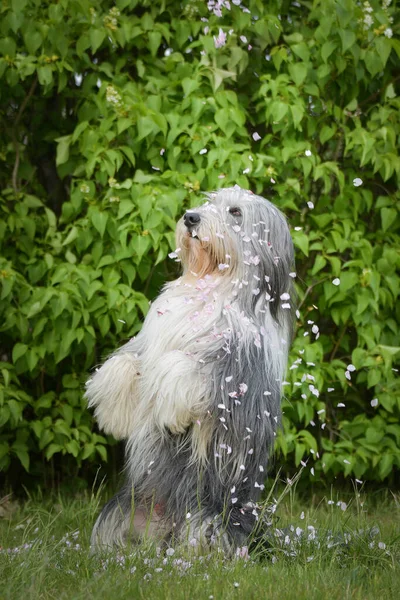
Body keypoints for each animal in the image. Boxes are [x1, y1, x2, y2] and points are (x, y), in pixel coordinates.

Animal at [86, 186, 294, 552]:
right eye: (209, 202)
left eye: (235, 212)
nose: (191, 218)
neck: (213, 283)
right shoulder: (152, 338)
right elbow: (128, 361)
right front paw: (111, 412)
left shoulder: (233, 371)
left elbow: (185, 365)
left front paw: (170, 412)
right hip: (118, 514)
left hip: (207, 520)